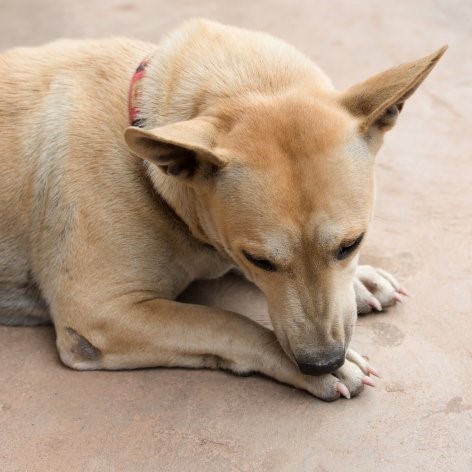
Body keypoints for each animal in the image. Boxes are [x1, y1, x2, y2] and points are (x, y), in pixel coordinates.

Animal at [0, 19, 446, 402]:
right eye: (260, 259)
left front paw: (360, 280)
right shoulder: (98, 315)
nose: (322, 362)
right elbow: (225, 321)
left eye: (352, 244)